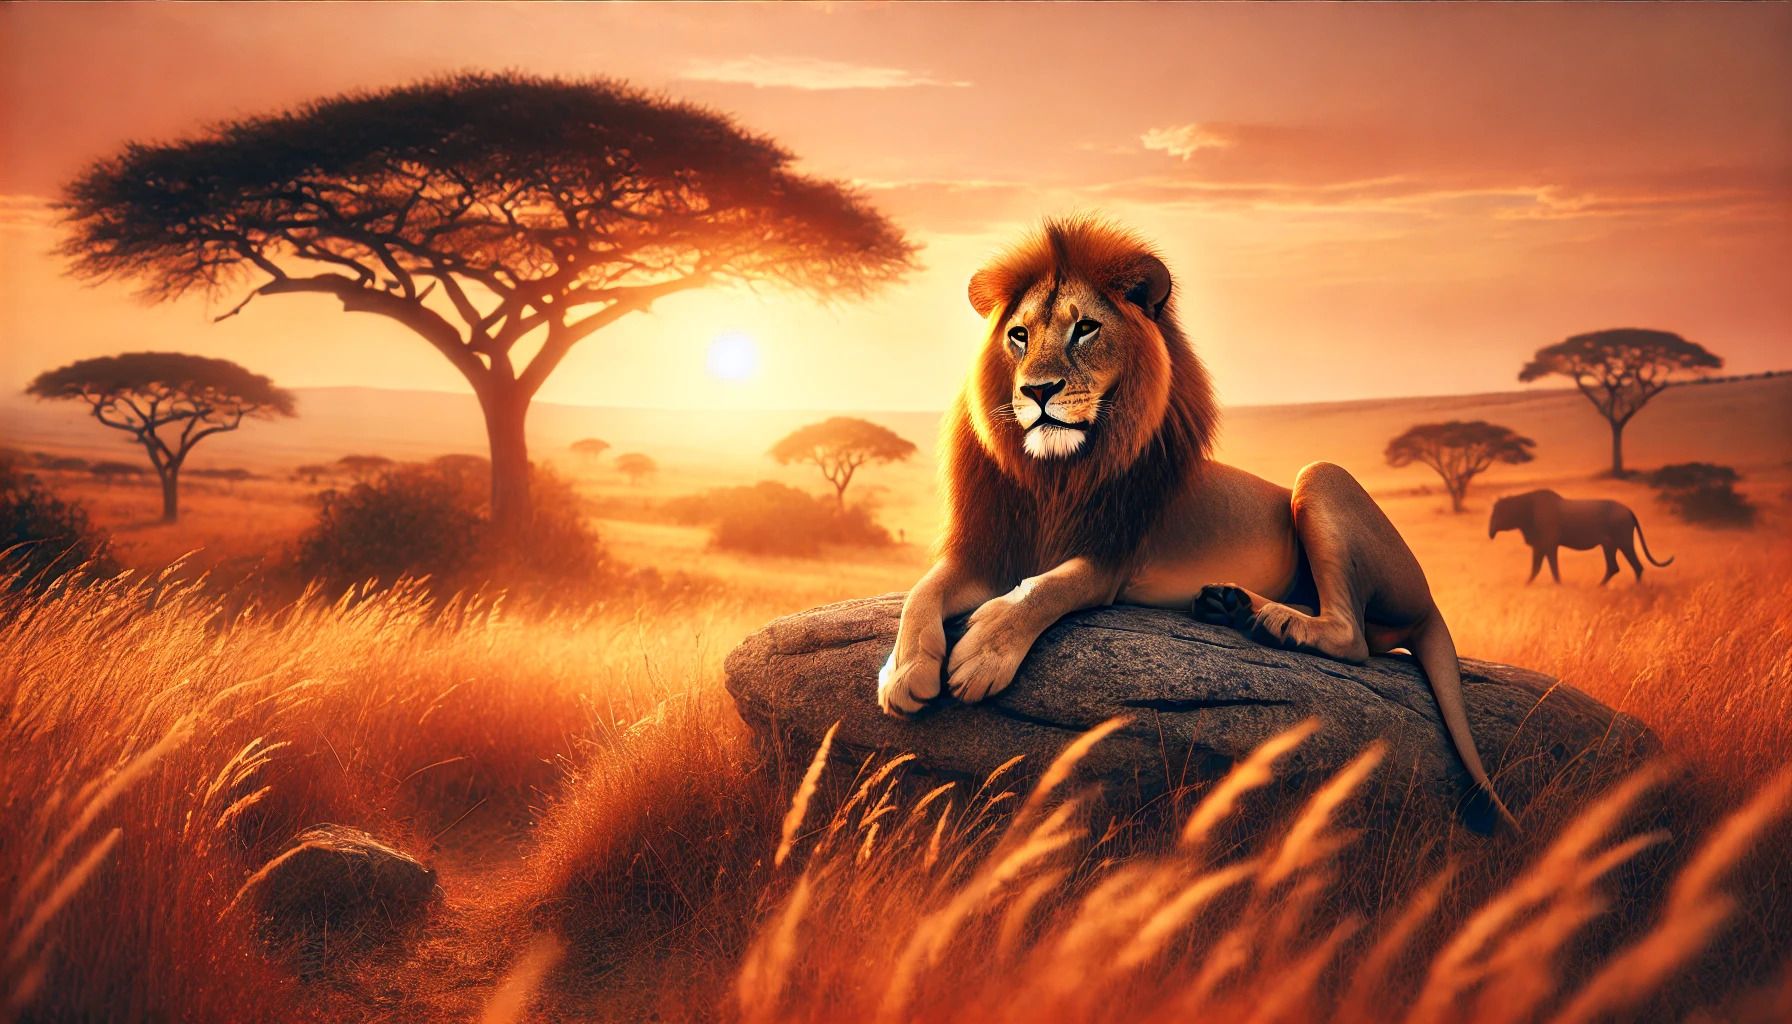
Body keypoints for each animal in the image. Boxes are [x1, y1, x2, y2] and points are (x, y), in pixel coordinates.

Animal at [878, 217, 1516, 830]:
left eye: (1085, 329)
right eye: (1019, 335)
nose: (1037, 390)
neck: (1055, 473)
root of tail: (1429, 601)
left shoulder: (1109, 561)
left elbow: (1043, 589)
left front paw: (983, 653)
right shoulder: (987, 551)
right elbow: (922, 592)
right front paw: (902, 672)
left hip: (1321, 476)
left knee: (1353, 637)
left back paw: (1273, 621)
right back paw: (1233, 606)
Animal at [1489, 489, 1673, 585]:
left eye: (1497, 512)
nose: (1490, 531)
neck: (1525, 509)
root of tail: (1628, 510)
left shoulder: (1549, 544)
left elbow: (1551, 567)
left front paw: (1558, 585)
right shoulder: (1539, 545)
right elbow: (1536, 568)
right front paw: (1526, 586)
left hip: (1623, 542)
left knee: (1636, 566)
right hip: (1609, 545)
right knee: (1614, 567)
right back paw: (1600, 587)